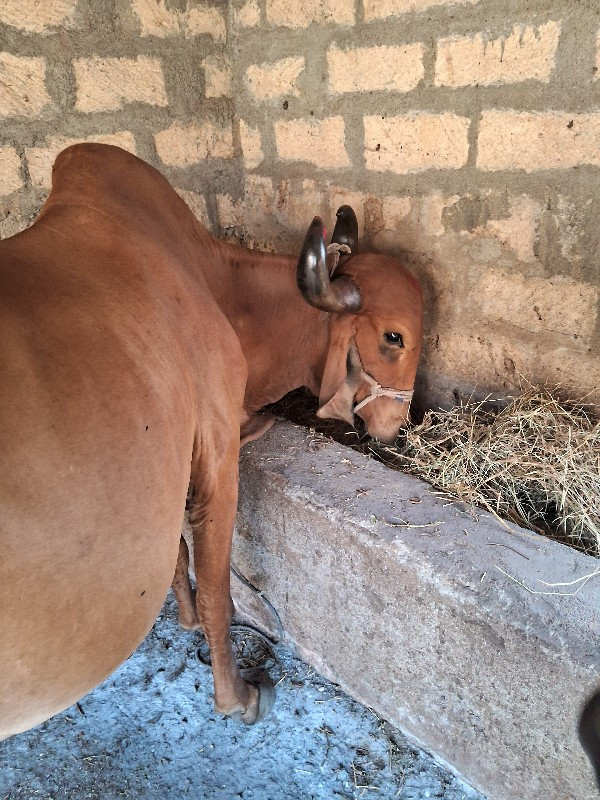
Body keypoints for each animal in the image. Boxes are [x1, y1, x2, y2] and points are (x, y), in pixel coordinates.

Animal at [0, 144, 422, 736]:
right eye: (393, 337)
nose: (396, 427)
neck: (218, 288)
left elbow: (178, 556)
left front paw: (183, 619)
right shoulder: (219, 455)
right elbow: (218, 590)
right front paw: (236, 696)